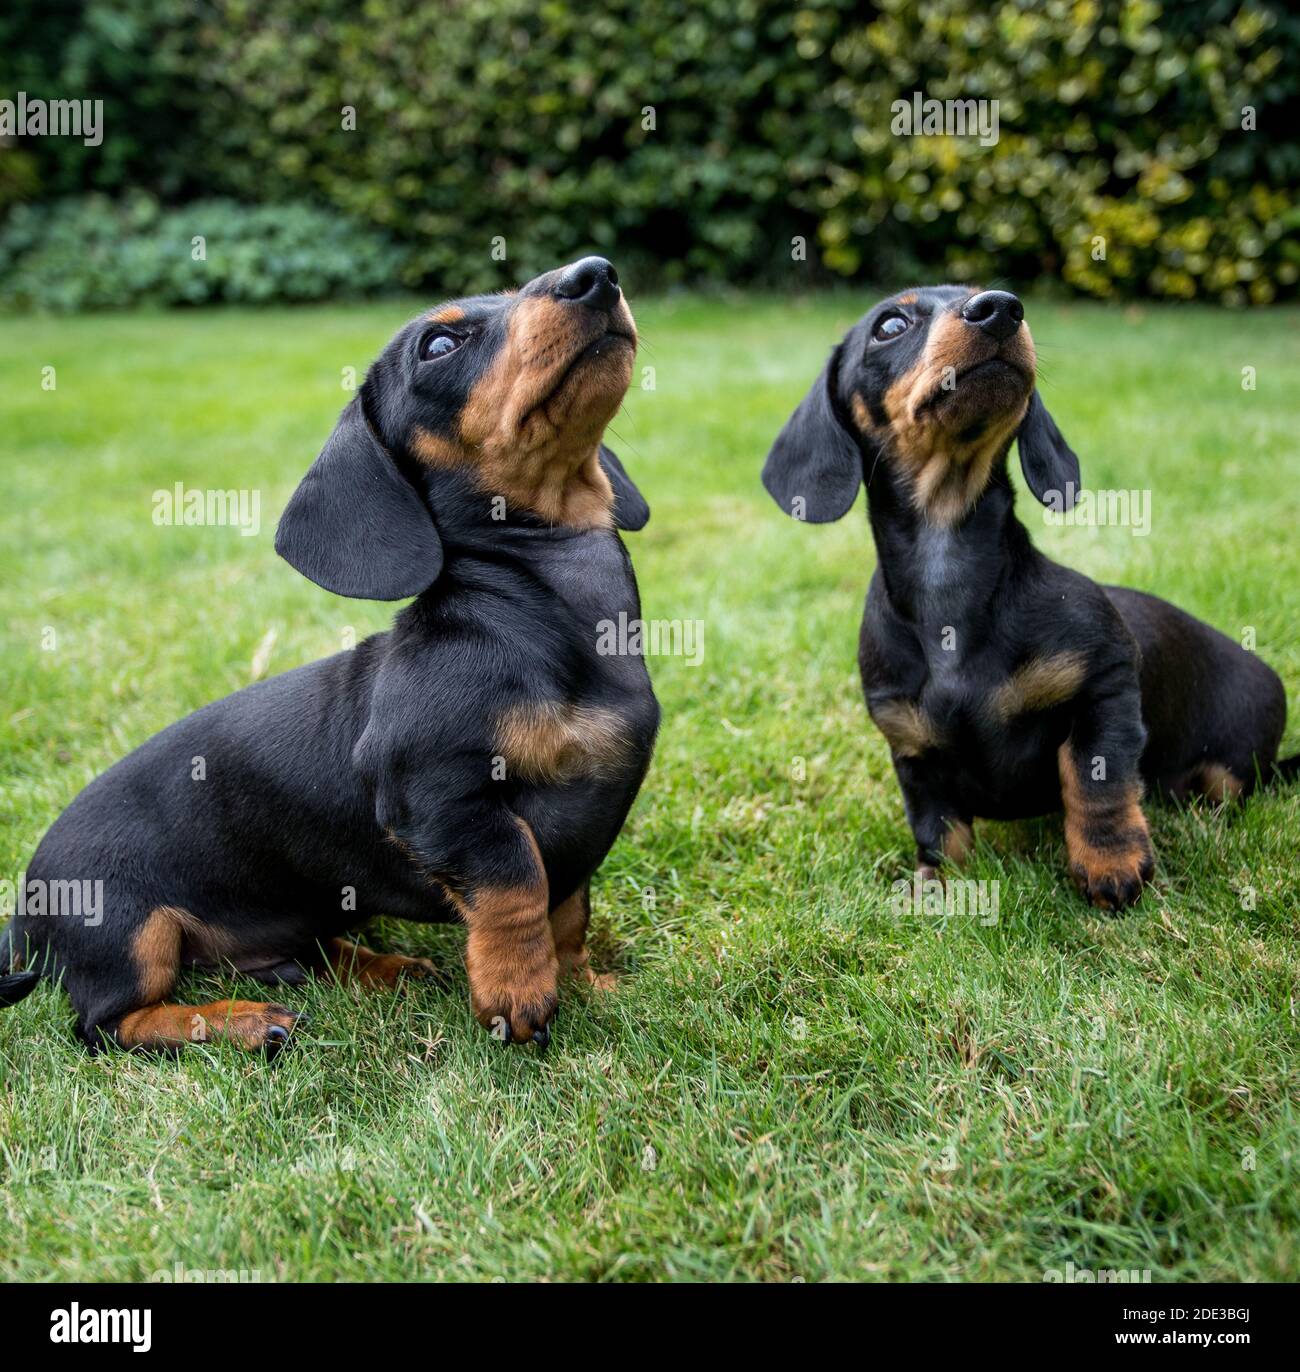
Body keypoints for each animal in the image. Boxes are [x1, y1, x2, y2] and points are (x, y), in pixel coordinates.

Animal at [2, 257, 660, 1048]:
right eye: (439, 344)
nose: (594, 274)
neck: (536, 604)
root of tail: (23, 910)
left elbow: (569, 908)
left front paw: (586, 982)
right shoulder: (437, 795)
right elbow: (516, 876)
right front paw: (517, 989)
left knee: (301, 952)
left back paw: (381, 970)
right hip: (128, 931)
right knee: (107, 1023)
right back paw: (238, 1023)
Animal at [767, 286, 1294, 911]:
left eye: (981, 292)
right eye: (889, 325)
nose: (1000, 307)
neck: (952, 576)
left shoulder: (1105, 681)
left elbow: (1095, 777)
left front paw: (1111, 864)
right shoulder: (910, 747)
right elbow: (937, 826)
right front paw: (934, 885)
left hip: (1234, 769)